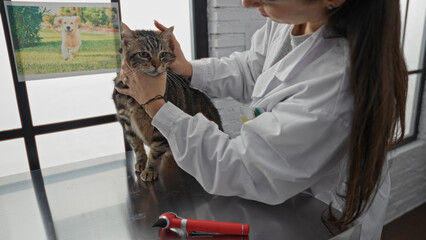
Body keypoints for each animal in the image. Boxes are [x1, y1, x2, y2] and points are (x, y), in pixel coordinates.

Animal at [112, 23, 223, 182]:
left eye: (163, 54)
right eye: (144, 54)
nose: (157, 65)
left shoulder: (159, 129)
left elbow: (156, 150)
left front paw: (150, 170)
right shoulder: (127, 123)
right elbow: (137, 146)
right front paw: (141, 162)